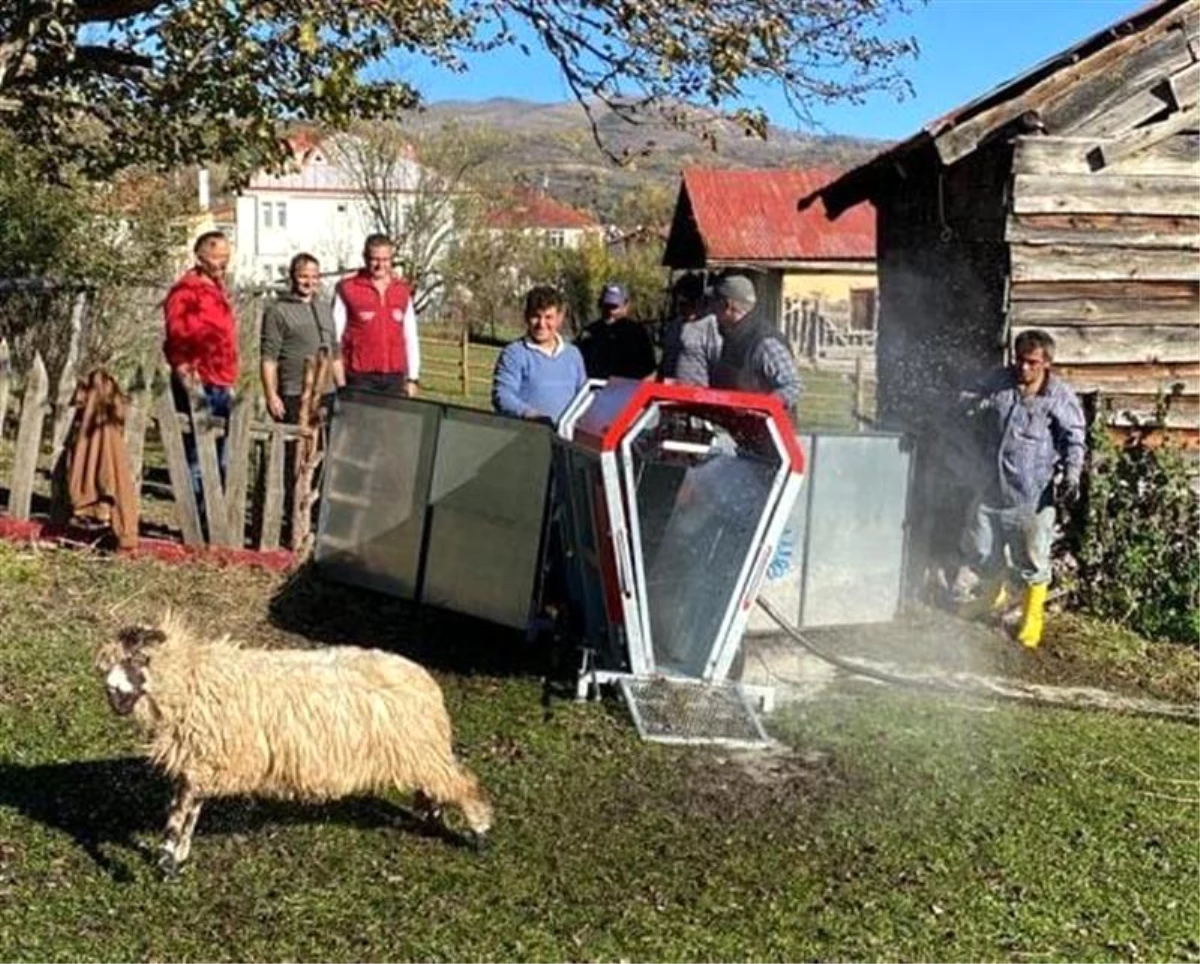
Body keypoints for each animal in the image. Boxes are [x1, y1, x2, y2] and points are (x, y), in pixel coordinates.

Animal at [96, 614, 494, 878]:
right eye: (110, 663)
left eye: (138, 659)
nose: (112, 694)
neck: (192, 680)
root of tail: (425, 680)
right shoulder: (201, 763)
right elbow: (186, 809)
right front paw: (174, 859)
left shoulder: (209, 761)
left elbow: (182, 810)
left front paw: (166, 856)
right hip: (418, 753)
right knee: (438, 785)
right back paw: (434, 817)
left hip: (420, 748)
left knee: (462, 784)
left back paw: (479, 832)